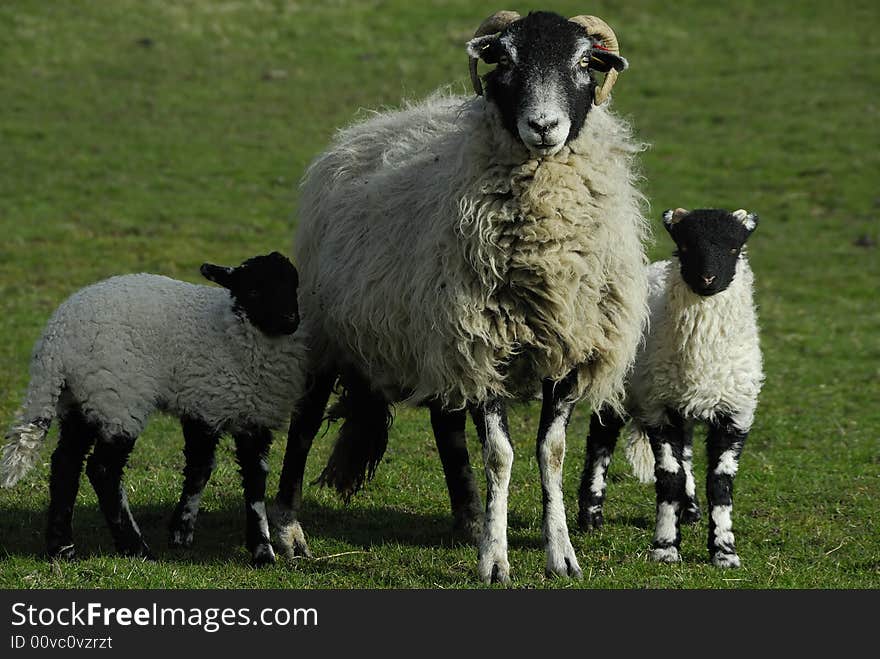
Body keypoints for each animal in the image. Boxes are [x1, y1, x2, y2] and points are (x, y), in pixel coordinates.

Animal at [1, 253, 306, 568]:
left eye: (293, 285)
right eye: (254, 291)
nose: (290, 320)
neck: (233, 328)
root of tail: (54, 344)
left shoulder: (212, 407)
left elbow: (204, 468)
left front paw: (182, 531)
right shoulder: (230, 410)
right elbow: (250, 481)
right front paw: (262, 551)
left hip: (82, 399)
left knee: (65, 463)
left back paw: (63, 548)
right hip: (118, 398)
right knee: (102, 470)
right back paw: (136, 547)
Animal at [276, 10, 652, 584]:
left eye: (584, 61)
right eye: (505, 59)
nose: (544, 126)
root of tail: (361, 132)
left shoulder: (564, 351)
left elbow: (552, 453)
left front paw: (561, 555)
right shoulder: (483, 346)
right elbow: (499, 455)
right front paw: (495, 561)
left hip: (437, 336)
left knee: (446, 423)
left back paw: (469, 518)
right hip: (330, 331)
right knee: (303, 422)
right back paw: (290, 532)